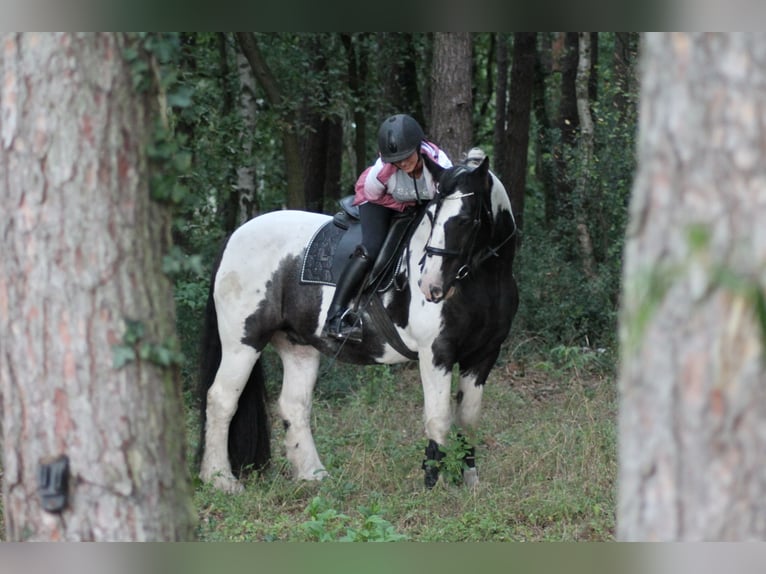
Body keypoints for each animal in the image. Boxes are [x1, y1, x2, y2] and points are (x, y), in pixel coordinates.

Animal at [198, 154, 520, 496]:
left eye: (468, 219)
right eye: (433, 217)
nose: (430, 286)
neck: (484, 280)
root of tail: (235, 236)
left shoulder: (484, 355)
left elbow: (468, 419)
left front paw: (471, 481)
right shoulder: (436, 353)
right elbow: (439, 417)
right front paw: (436, 483)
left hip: (298, 345)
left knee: (294, 405)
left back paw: (313, 474)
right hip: (243, 343)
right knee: (221, 400)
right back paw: (220, 479)